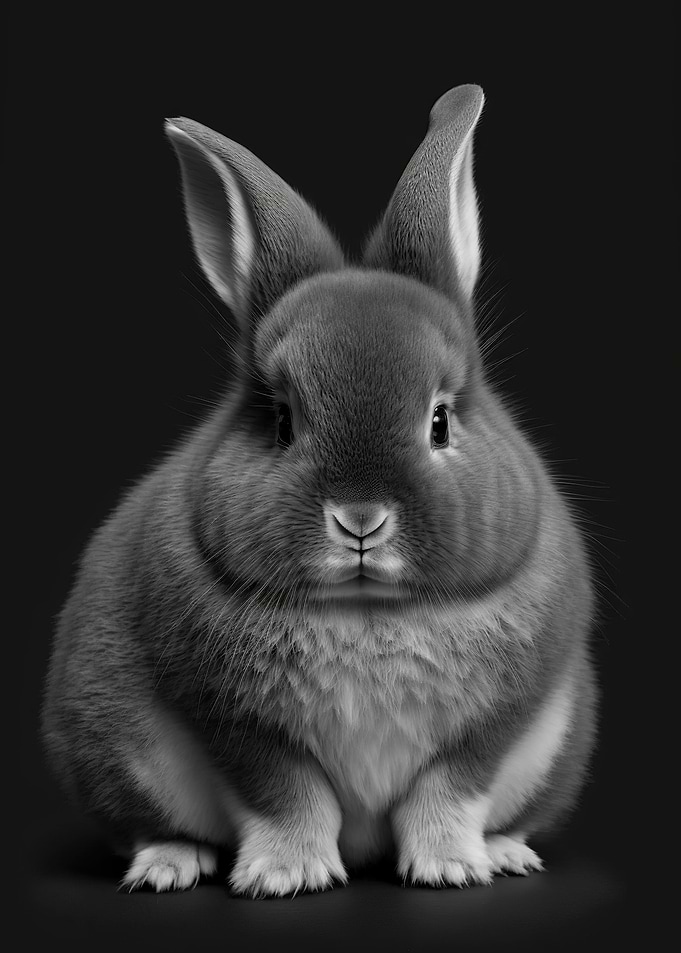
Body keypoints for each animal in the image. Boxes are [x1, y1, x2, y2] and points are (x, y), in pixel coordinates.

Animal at [41, 83, 597, 898]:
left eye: (440, 420)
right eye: (281, 420)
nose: (360, 519)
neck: (365, 610)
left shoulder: (497, 724)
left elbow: (448, 790)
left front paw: (450, 867)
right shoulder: (238, 727)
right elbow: (287, 795)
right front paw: (287, 874)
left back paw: (504, 851)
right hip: (111, 742)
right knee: (150, 823)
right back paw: (169, 864)